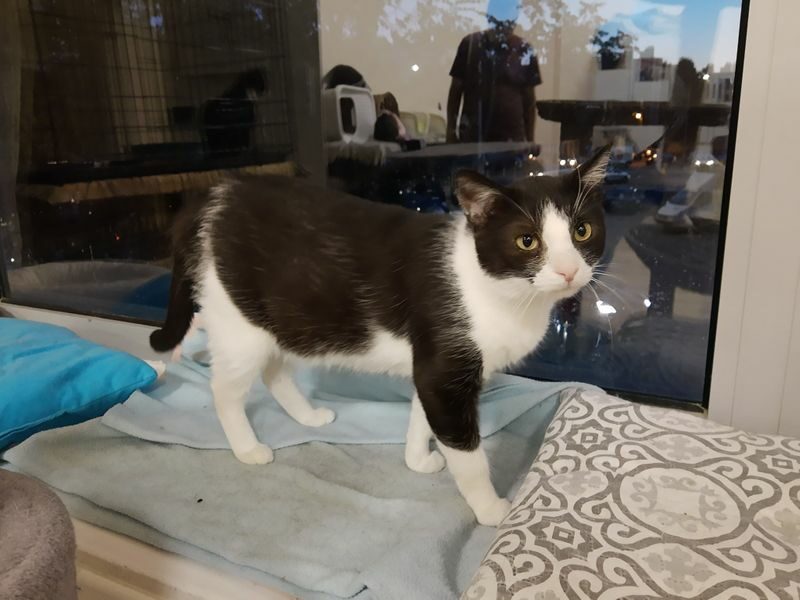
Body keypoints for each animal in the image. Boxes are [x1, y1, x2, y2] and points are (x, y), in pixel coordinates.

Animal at [150, 147, 609, 526]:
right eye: (527, 240)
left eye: (582, 232)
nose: (569, 270)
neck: (503, 294)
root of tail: (214, 193)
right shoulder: (446, 369)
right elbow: (466, 453)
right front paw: (492, 509)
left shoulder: (430, 365)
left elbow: (422, 414)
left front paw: (417, 459)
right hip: (239, 320)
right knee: (226, 390)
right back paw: (248, 448)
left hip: (285, 317)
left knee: (274, 369)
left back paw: (308, 416)